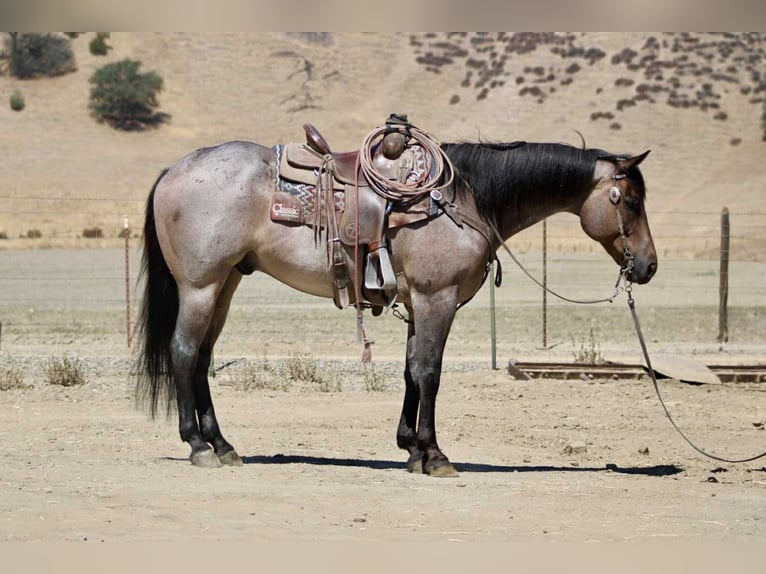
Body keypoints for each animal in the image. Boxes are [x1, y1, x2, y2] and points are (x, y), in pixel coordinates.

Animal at [136, 134, 657, 477]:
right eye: (631, 201)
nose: (649, 266)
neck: (465, 197)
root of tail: (172, 170)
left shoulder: (420, 303)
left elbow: (411, 370)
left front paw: (410, 448)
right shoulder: (436, 298)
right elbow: (430, 373)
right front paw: (434, 455)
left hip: (225, 284)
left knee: (202, 357)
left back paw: (223, 445)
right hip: (200, 286)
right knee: (184, 353)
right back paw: (199, 446)